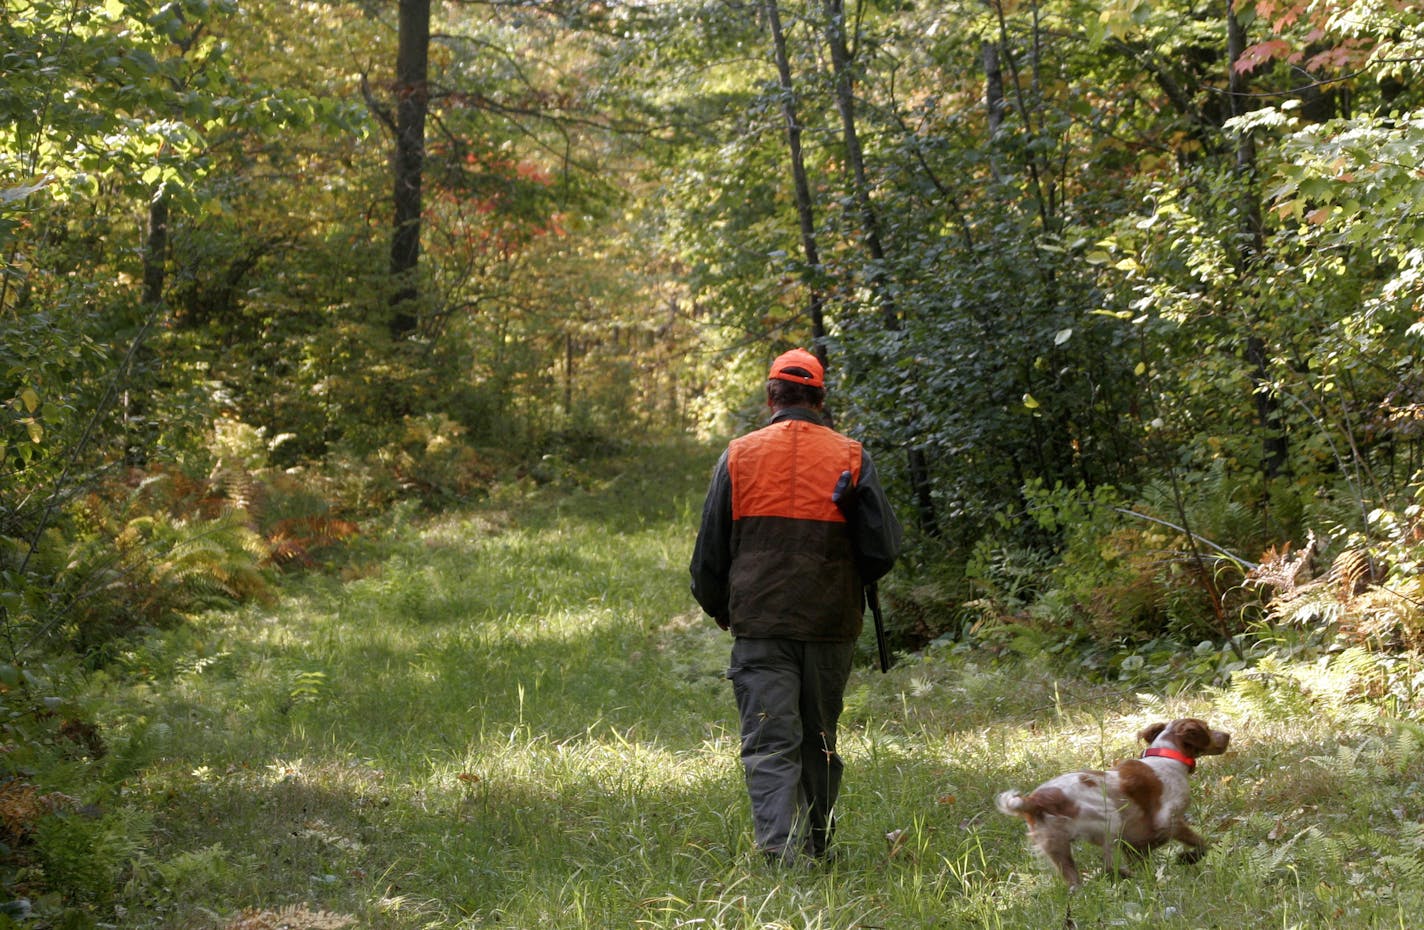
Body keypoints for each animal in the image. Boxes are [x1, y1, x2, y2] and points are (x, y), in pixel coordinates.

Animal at [996, 717, 1230, 883]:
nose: (1227, 735)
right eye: (1207, 727)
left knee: (1075, 881)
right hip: (1110, 820)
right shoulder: (1168, 819)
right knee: (1109, 867)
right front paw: (1187, 858)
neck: (1166, 755)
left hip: (1057, 846)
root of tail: (1035, 800)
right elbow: (1201, 843)